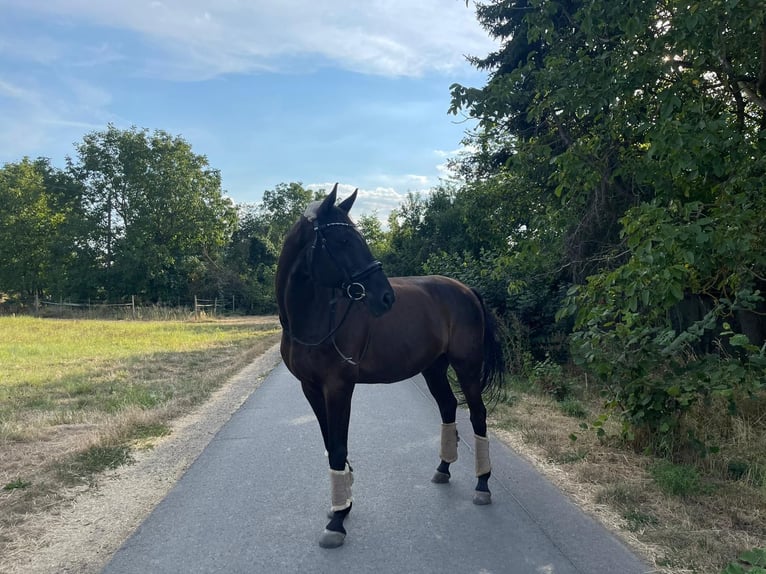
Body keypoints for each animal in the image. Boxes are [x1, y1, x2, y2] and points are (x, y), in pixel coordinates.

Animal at [276, 184, 504, 548]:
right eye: (343, 241)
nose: (385, 297)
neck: (315, 319)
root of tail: (466, 289)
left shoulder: (339, 387)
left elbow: (338, 447)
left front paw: (337, 521)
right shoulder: (310, 388)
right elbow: (329, 444)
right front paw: (342, 505)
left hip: (466, 366)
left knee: (478, 414)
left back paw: (482, 484)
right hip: (434, 368)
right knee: (448, 406)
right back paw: (443, 468)